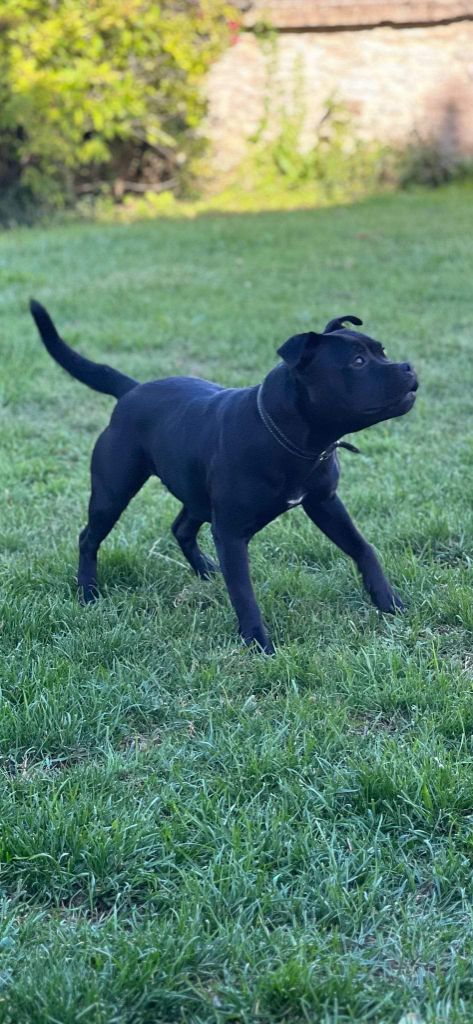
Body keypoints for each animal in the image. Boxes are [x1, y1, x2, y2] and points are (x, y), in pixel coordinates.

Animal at [28, 301, 417, 655]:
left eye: (382, 351)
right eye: (358, 362)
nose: (409, 366)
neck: (294, 436)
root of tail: (132, 390)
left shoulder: (325, 504)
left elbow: (364, 549)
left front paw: (390, 602)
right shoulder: (231, 532)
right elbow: (243, 592)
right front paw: (258, 643)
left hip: (194, 493)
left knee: (181, 528)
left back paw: (205, 571)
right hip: (112, 493)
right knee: (89, 538)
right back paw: (88, 592)